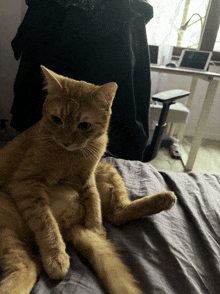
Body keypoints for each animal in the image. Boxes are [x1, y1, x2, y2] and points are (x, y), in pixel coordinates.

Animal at [0, 66, 176, 294]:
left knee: (117, 214)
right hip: (6, 225)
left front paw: (95, 228)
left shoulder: (89, 176)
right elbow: (46, 222)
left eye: (84, 125)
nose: (66, 141)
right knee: (29, 265)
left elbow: (94, 201)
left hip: (106, 169)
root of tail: (71, 225)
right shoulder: (26, 183)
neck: (70, 156)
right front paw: (56, 255)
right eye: (57, 120)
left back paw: (164, 199)